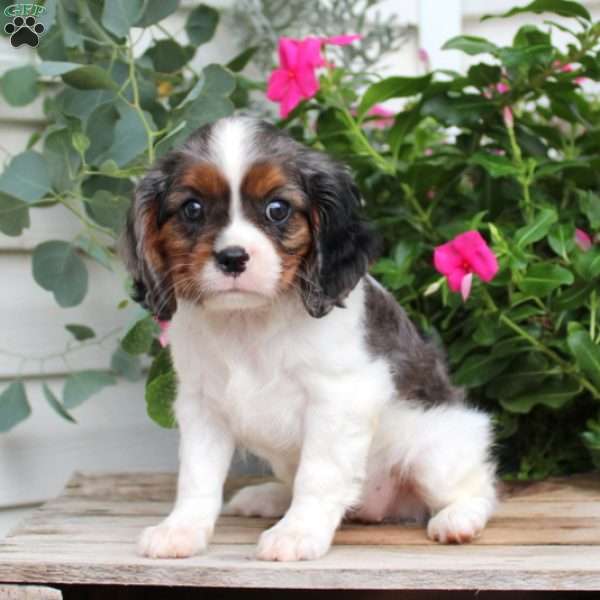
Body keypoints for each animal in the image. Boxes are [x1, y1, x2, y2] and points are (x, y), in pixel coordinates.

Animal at [122, 117, 496, 564]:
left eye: (277, 209)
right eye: (192, 209)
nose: (232, 258)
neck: (248, 320)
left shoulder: (338, 399)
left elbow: (318, 474)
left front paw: (297, 533)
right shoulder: (201, 405)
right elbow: (197, 476)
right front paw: (181, 529)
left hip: (434, 450)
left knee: (478, 487)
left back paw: (459, 519)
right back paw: (269, 497)